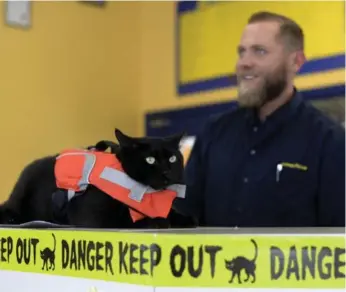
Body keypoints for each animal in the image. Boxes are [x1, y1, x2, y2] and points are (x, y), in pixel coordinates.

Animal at [0, 129, 195, 229]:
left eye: (172, 159)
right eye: (150, 160)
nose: (167, 172)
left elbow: (171, 212)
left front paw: (185, 219)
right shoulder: (92, 215)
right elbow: (125, 221)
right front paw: (157, 221)